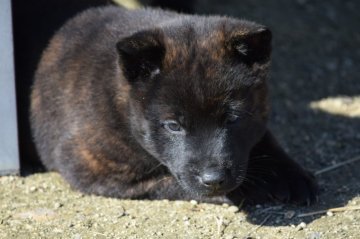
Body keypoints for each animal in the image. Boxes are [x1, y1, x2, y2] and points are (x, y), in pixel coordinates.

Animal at [31, 6, 318, 204]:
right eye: (173, 126)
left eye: (233, 119)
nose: (214, 179)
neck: (122, 108)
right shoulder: (97, 172)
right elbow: (167, 181)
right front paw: (250, 188)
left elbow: (266, 141)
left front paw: (292, 175)